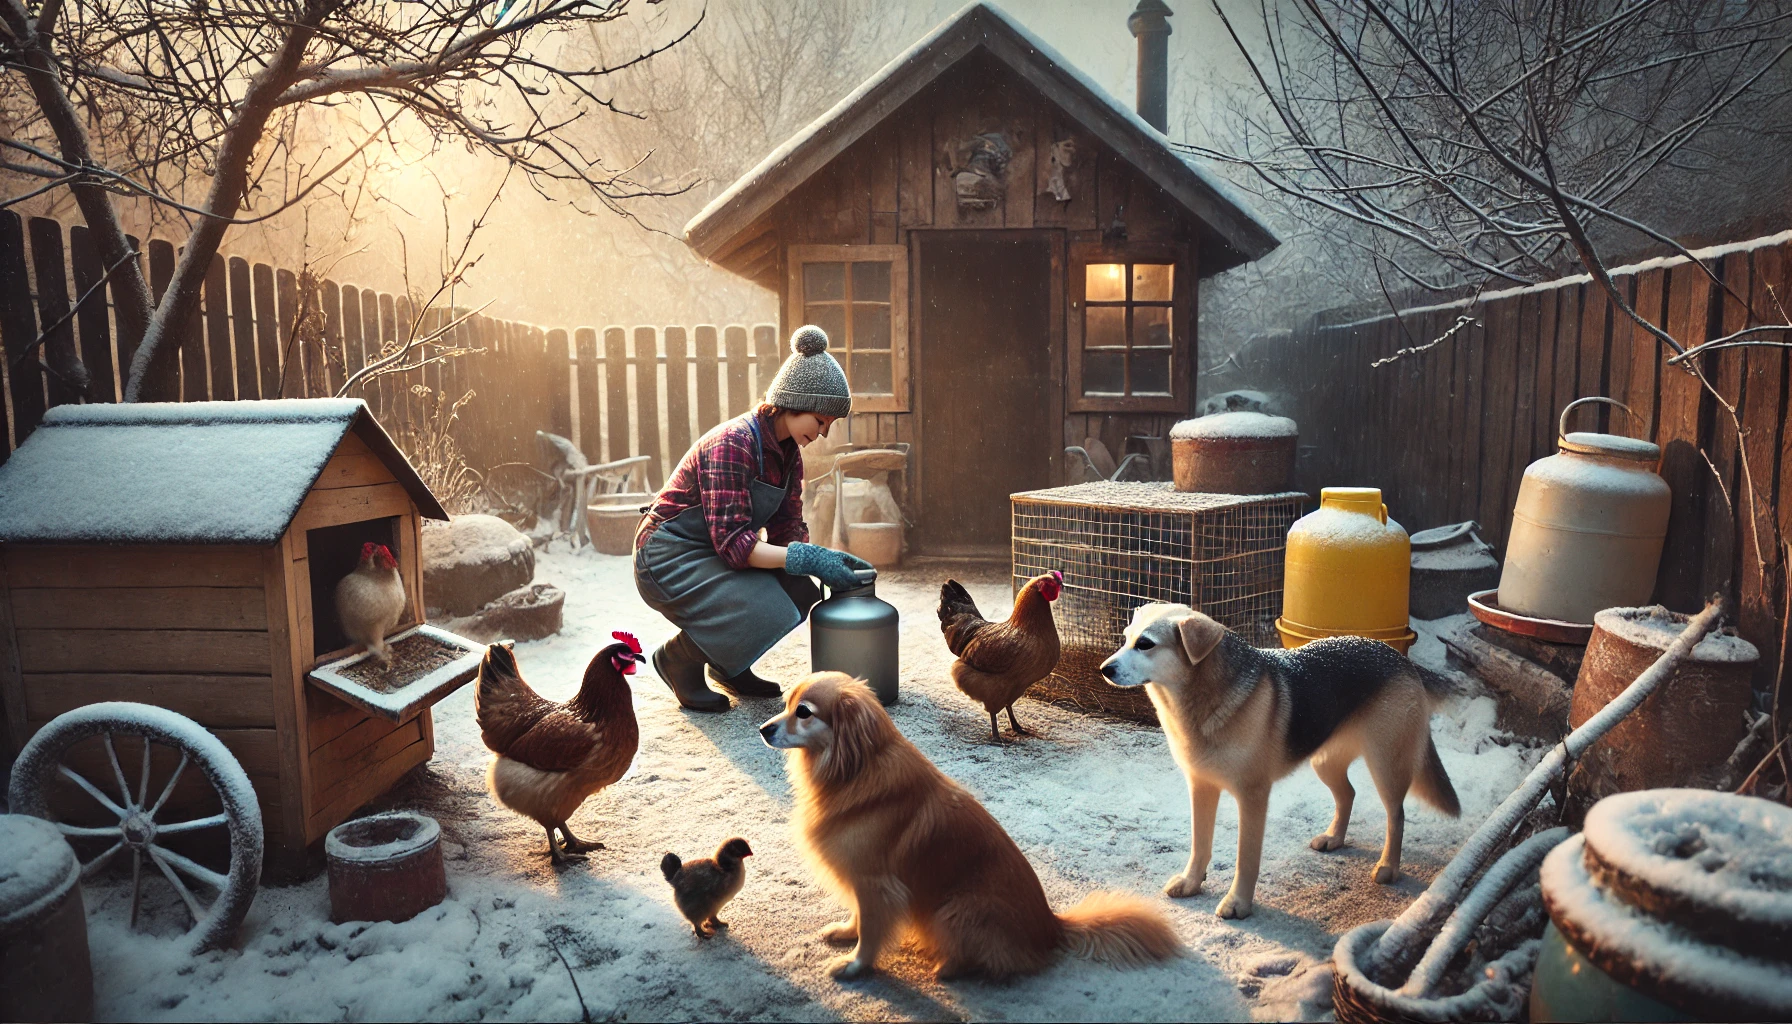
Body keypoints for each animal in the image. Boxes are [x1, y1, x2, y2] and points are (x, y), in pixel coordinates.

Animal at [752, 677, 1175, 982]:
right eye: (787, 705)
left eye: (803, 713)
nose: (762, 729)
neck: (853, 769)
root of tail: (1052, 926)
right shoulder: (861, 881)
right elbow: (858, 917)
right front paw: (846, 931)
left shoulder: (876, 884)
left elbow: (871, 931)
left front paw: (857, 965)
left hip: (954, 910)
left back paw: (948, 968)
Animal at [1096, 606, 1462, 918]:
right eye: (1126, 638)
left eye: (1145, 644)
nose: (1104, 669)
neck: (1203, 698)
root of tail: (1397, 656)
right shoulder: (1201, 788)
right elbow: (1200, 844)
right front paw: (1191, 882)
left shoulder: (1252, 797)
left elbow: (1246, 858)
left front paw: (1238, 903)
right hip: (1324, 762)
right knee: (1348, 794)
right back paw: (1334, 838)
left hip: (1386, 765)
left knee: (1396, 816)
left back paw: (1388, 866)